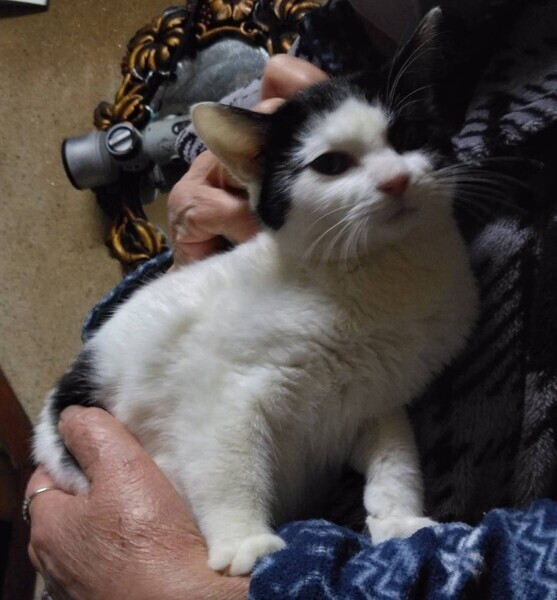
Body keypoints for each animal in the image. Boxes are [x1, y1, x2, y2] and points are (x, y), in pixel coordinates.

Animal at [34, 7, 478, 576]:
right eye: (331, 164)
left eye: (411, 134)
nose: (396, 180)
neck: (375, 276)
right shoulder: (222, 398)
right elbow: (229, 467)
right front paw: (243, 542)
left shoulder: (378, 401)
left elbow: (396, 460)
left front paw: (399, 519)